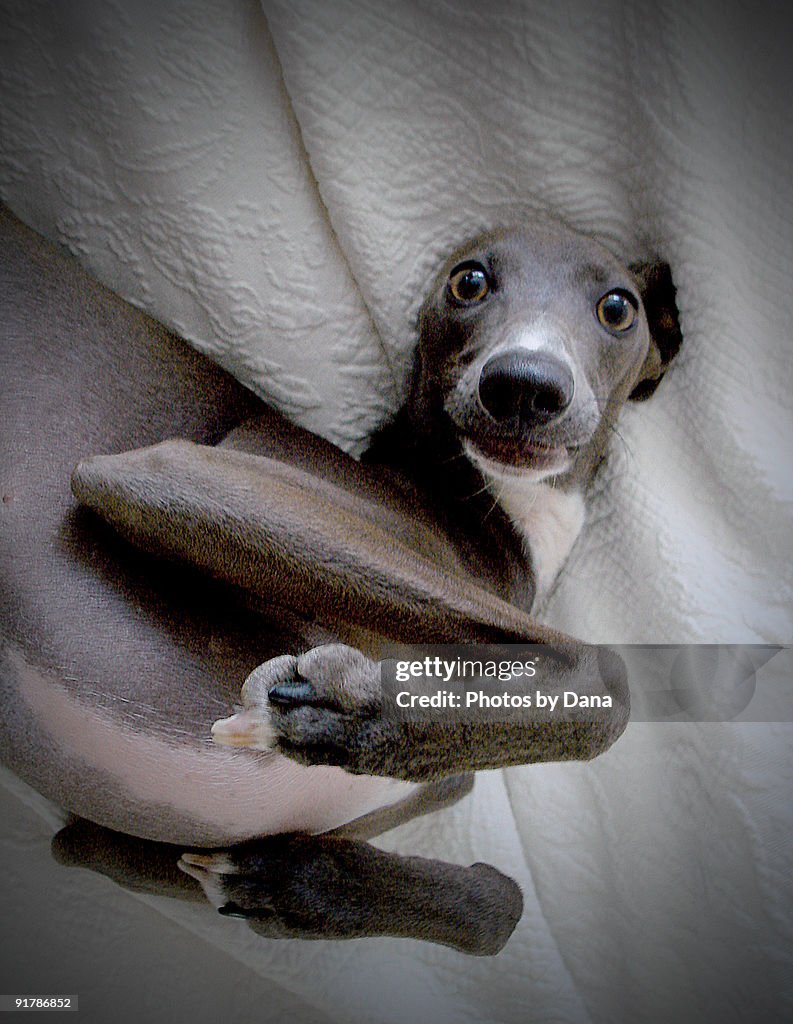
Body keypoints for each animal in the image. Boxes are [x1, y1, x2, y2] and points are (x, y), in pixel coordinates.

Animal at [0, 203, 684, 954]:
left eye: (617, 306)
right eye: (469, 281)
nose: (524, 383)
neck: (490, 512)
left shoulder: (89, 842)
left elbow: (496, 911)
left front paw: (290, 883)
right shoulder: (174, 471)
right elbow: (607, 680)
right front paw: (354, 709)